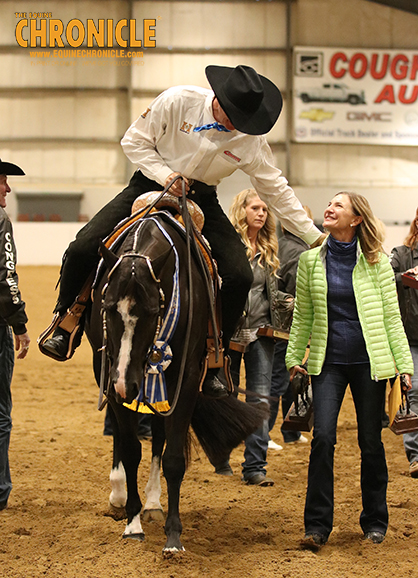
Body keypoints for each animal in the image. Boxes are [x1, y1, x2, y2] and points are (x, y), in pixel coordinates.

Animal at [85, 205, 268, 552]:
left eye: (152, 310)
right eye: (108, 306)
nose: (125, 384)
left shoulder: (185, 380)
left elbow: (172, 459)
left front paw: (173, 536)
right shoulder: (111, 374)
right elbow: (130, 449)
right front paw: (132, 524)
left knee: (159, 438)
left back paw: (154, 503)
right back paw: (119, 494)